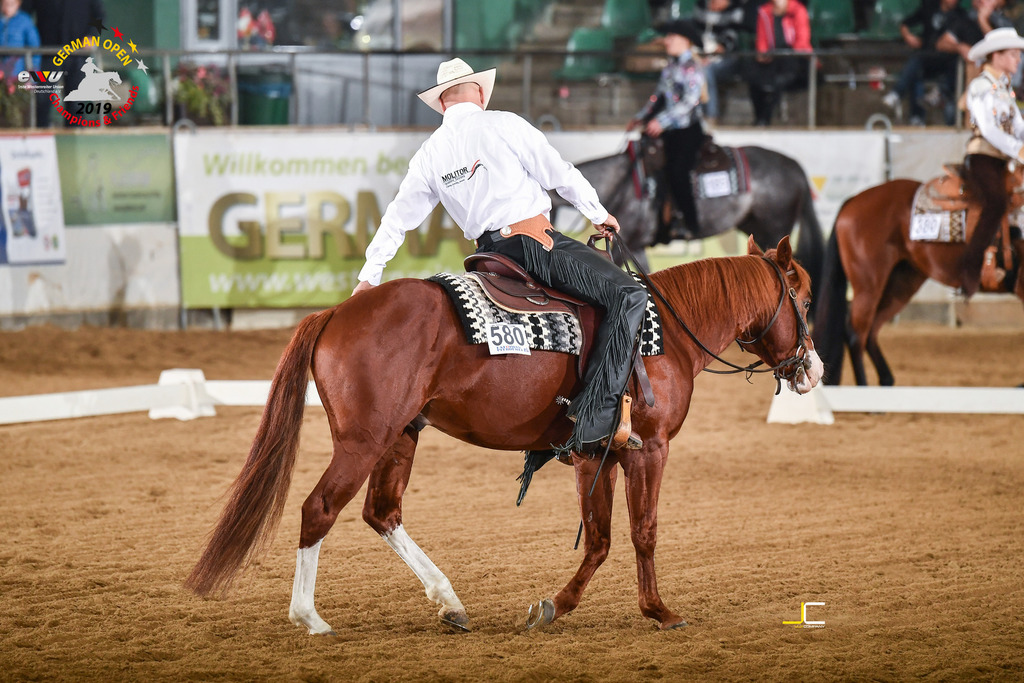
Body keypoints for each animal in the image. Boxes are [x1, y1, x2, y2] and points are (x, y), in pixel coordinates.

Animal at [185, 236, 823, 633]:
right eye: (808, 298)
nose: (812, 369)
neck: (662, 333)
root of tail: (338, 312)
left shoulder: (595, 455)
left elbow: (599, 539)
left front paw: (555, 606)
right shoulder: (651, 450)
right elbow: (641, 532)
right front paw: (660, 611)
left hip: (400, 436)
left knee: (382, 512)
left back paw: (449, 604)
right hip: (361, 442)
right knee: (319, 509)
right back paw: (310, 619)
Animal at [811, 179, 1024, 386]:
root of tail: (852, 201)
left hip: (901, 283)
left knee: (871, 331)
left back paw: (887, 380)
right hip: (868, 284)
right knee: (856, 334)